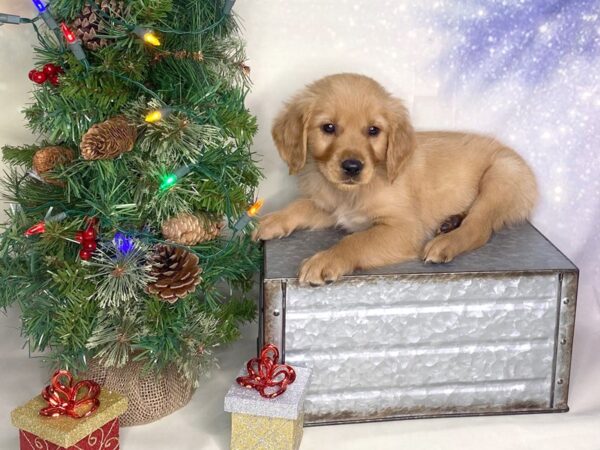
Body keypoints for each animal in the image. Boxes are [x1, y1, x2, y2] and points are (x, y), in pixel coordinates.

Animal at [255, 73, 536, 284]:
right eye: (328, 127)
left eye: (373, 130)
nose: (352, 167)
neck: (351, 192)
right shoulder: (332, 208)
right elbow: (301, 204)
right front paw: (273, 219)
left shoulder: (405, 228)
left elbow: (356, 240)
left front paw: (326, 259)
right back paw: (450, 221)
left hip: (502, 175)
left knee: (479, 227)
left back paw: (445, 242)